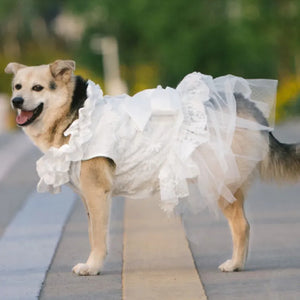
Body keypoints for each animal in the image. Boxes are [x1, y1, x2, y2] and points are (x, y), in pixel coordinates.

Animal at [4, 59, 300, 276]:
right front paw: (93, 263)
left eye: (38, 88)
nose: (15, 102)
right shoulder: (90, 199)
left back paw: (235, 264)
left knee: (242, 226)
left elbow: (97, 237)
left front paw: (92, 266)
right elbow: (93, 232)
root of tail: (249, 106)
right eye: (17, 87)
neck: (75, 114)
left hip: (222, 183)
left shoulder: (97, 194)